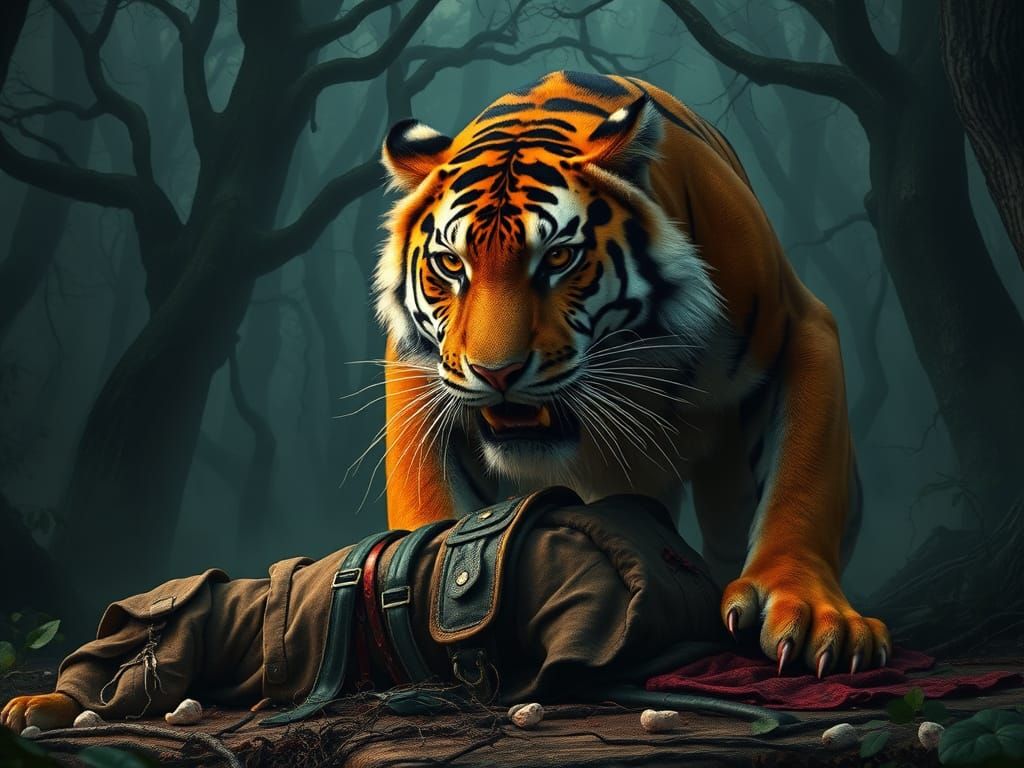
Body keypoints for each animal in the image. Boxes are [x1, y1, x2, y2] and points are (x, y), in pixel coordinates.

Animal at [375, 70, 889, 676]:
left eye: (558, 258)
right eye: (451, 264)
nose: (495, 372)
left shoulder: (800, 327)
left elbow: (802, 482)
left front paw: (808, 611)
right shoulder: (422, 374)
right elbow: (429, 499)